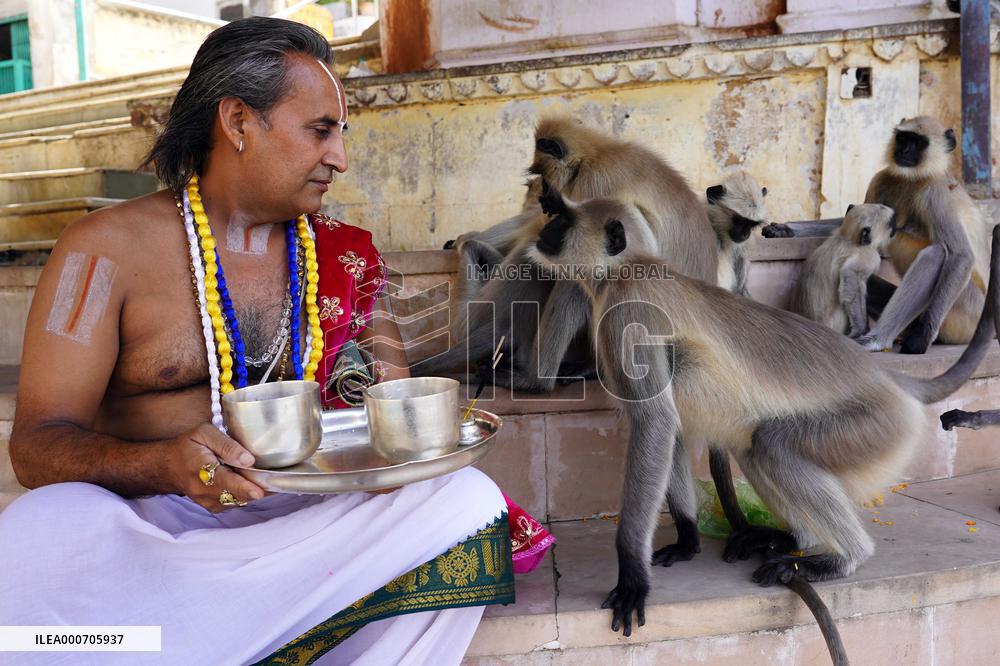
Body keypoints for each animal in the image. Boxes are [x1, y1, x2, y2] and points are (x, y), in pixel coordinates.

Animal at [790, 203, 896, 338]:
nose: (895, 229)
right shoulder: (868, 255)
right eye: (890, 223)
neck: (846, 239)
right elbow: (850, 274)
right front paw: (860, 330)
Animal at [856, 116, 992, 354]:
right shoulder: (879, 179)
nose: (905, 151)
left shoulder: (935, 193)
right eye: (903, 138)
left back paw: (879, 339)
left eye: (919, 143)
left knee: (936, 254)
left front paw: (921, 338)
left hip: (967, 313)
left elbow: (961, 256)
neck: (913, 179)